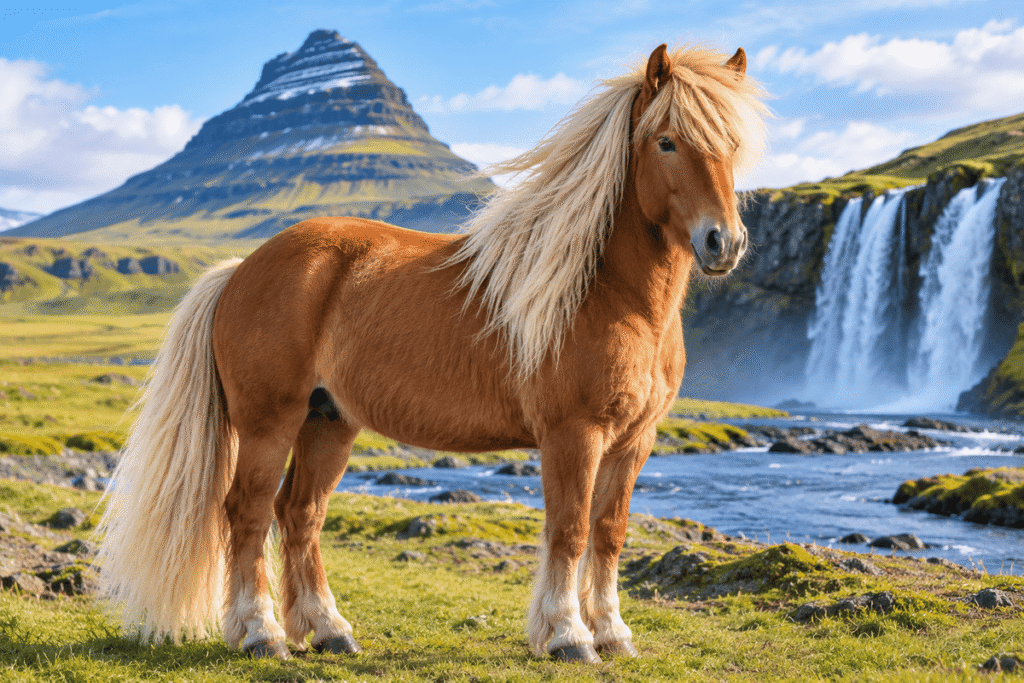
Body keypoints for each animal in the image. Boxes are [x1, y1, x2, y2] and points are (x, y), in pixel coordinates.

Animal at [97, 43, 767, 664]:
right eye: (666, 142)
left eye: (733, 144)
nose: (724, 242)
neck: (606, 293)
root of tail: (240, 269)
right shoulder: (573, 434)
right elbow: (570, 531)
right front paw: (569, 637)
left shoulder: (634, 439)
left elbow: (608, 533)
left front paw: (613, 634)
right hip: (269, 423)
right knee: (249, 512)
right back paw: (262, 635)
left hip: (328, 421)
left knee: (300, 514)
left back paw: (329, 630)